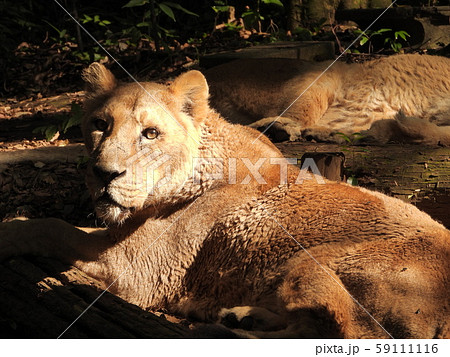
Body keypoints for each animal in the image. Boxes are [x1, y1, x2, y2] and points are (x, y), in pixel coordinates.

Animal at [0, 62, 448, 338]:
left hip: (314, 262)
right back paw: (242, 315)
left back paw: (220, 328)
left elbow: (51, 227)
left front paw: (8, 232)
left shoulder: (140, 271)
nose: (103, 174)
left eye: (150, 133)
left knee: (346, 331)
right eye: (99, 124)